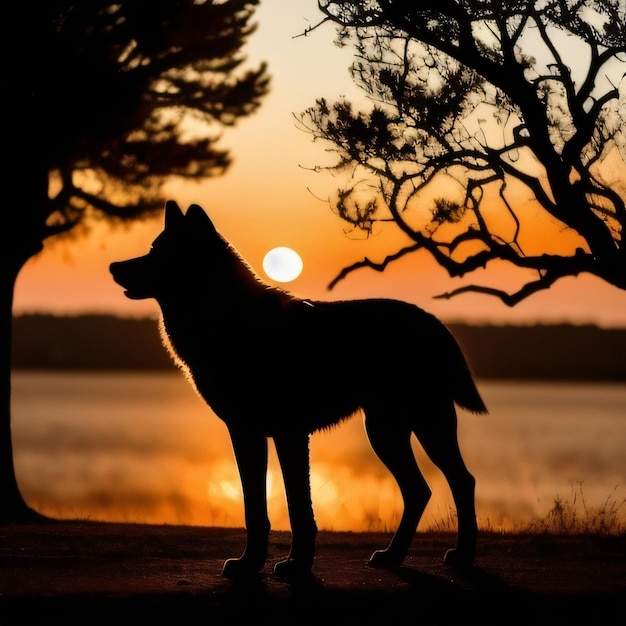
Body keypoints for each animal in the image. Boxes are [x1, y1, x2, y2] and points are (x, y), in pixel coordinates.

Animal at [109, 200, 486, 576]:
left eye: (157, 252)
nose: (113, 266)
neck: (225, 321)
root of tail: (434, 322)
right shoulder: (250, 434)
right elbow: (259, 510)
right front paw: (255, 563)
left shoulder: (283, 434)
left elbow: (294, 508)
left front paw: (292, 565)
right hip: (399, 429)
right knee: (427, 488)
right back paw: (395, 556)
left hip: (399, 430)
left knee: (457, 482)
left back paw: (460, 556)